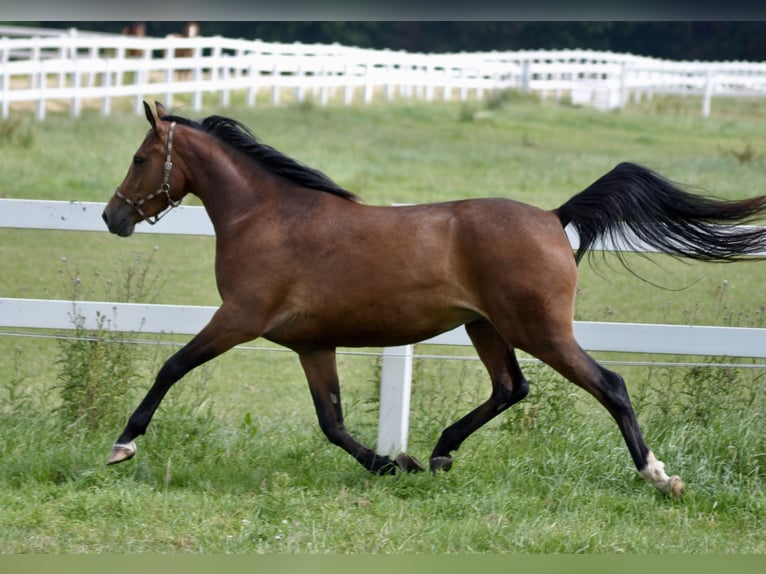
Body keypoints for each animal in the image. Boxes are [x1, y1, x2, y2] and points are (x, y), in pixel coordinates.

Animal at [103, 101, 766, 498]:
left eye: (139, 158)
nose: (113, 217)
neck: (267, 217)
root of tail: (553, 217)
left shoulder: (239, 319)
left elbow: (171, 367)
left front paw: (123, 444)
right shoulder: (312, 344)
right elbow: (332, 423)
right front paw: (395, 464)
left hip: (539, 330)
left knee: (609, 385)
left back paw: (659, 476)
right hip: (486, 328)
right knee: (511, 387)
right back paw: (442, 453)